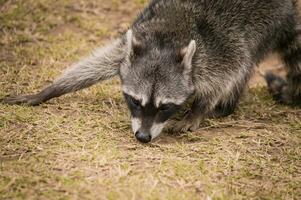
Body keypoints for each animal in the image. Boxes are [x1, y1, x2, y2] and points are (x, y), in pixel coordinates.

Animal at [2, 0, 300, 144]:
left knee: (247, 62)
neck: (167, 39)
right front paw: (50, 90)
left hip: (265, 24)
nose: (143, 138)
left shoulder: (221, 49)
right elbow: (98, 62)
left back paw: (226, 106)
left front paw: (199, 109)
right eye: (135, 101)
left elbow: (231, 70)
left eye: (165, 107)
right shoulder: (131, 46)